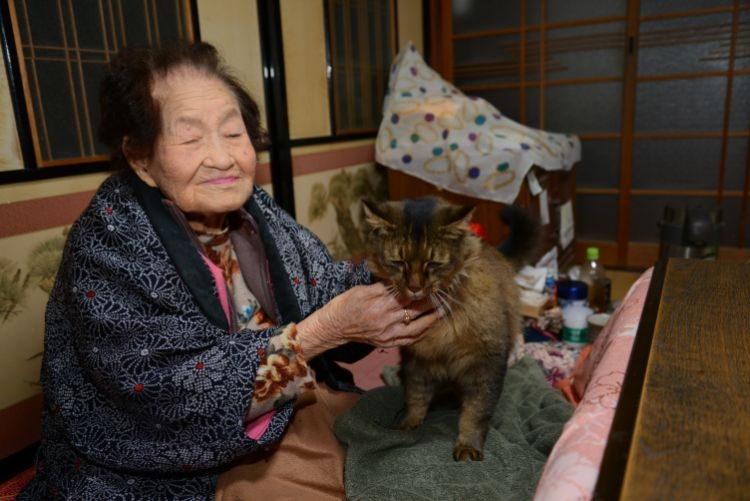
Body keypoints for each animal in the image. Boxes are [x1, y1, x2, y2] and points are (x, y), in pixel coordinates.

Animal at [362, 195, 540, 460]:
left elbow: (475, 413)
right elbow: (415, 399)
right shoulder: (417, 363)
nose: (414, 287)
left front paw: (468, 446)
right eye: (398, 262)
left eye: (433, 263)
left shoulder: (486, 363)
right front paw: (407, 426)